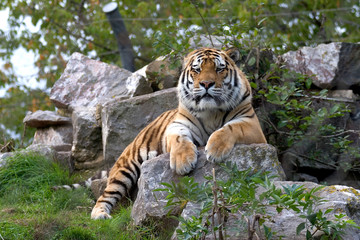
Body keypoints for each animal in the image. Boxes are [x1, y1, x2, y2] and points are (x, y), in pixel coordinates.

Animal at [90, 47, 268, 219]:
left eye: (219, 69)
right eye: (197, 69)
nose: (206, 83)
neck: (211, 112)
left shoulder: (252, 124)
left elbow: (230, 128)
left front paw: (215, 149)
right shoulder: (177, 124)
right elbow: (179, 138)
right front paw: (183, 162)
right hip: (126, 166)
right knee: (106, 195)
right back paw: (100, 215)